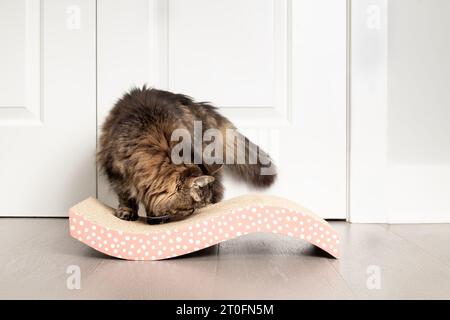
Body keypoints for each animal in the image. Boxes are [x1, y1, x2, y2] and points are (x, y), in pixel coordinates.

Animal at [96, 86, 276, 224]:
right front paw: (127, 212)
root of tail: (195, 104)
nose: (194, 213)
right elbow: (126, 197)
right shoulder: (117, 173)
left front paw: (155, 217)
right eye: (190, 207)